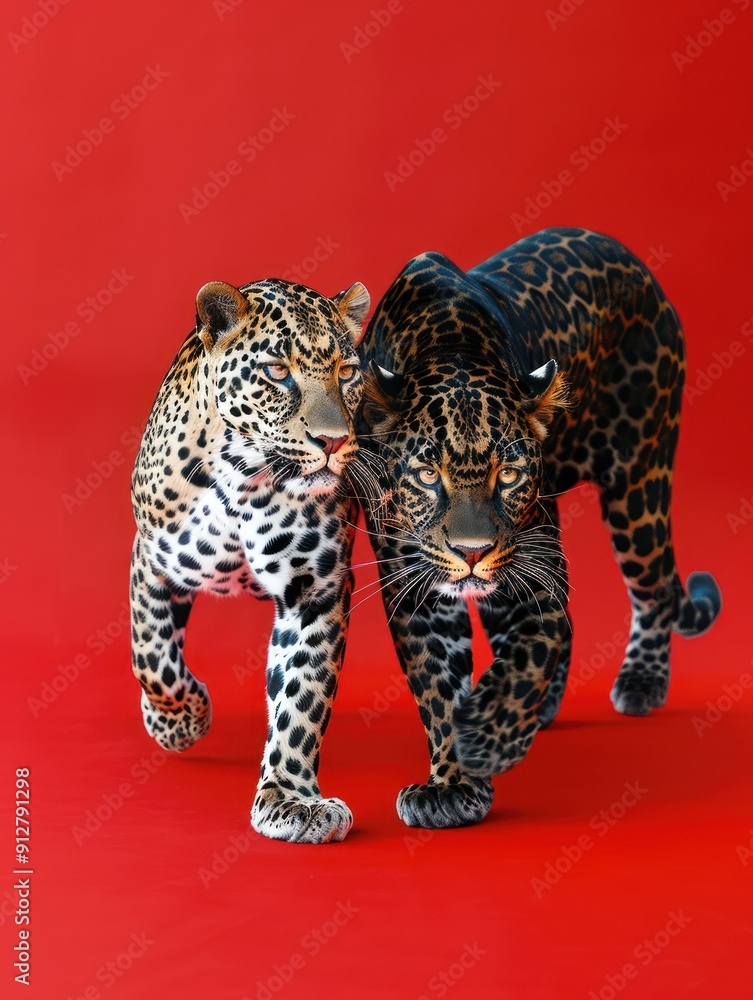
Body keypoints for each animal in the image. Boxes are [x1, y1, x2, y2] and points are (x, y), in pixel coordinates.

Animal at [130, 276, 373, 843]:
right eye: (277, 372)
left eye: (346, 372)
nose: (333, 442)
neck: (247, 475)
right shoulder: (152, 558)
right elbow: (151, 654)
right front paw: (182, 720)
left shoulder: (315, 589)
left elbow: (301, 700)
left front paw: (291, 800)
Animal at [357, 226, 722, 830]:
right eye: (428, 474)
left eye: (508, 473)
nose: (473, 551)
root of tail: (640, 270)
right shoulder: (414, 585)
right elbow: (438, 683)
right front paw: (451, 783)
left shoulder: (529, 574)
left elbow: (532, 650)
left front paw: (485, 739)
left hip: (639, 484)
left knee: (652, 592)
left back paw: (641, 683)